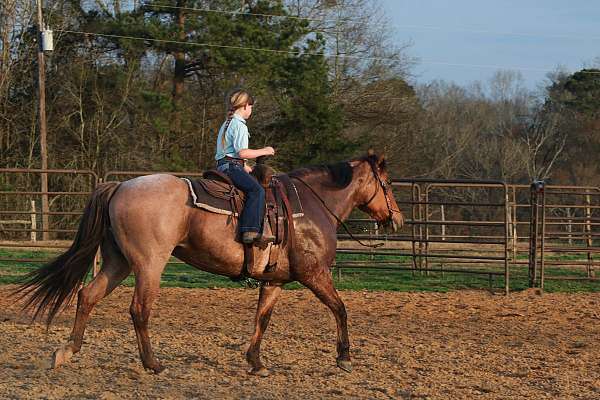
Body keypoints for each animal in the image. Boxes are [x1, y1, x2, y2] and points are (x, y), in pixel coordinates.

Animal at [15, 152, 404, 376]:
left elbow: (262, 318)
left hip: (117, 262)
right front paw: (344, 357)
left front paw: (256, 363)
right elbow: (340, 309)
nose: (397, 218)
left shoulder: (275, 280)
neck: (311, 205)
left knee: (87, 295)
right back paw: (153, 364)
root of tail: (121, 186)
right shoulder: (314, 273)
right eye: (386, 183)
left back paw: (66, 351)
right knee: (139, 310)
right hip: (149, 264)